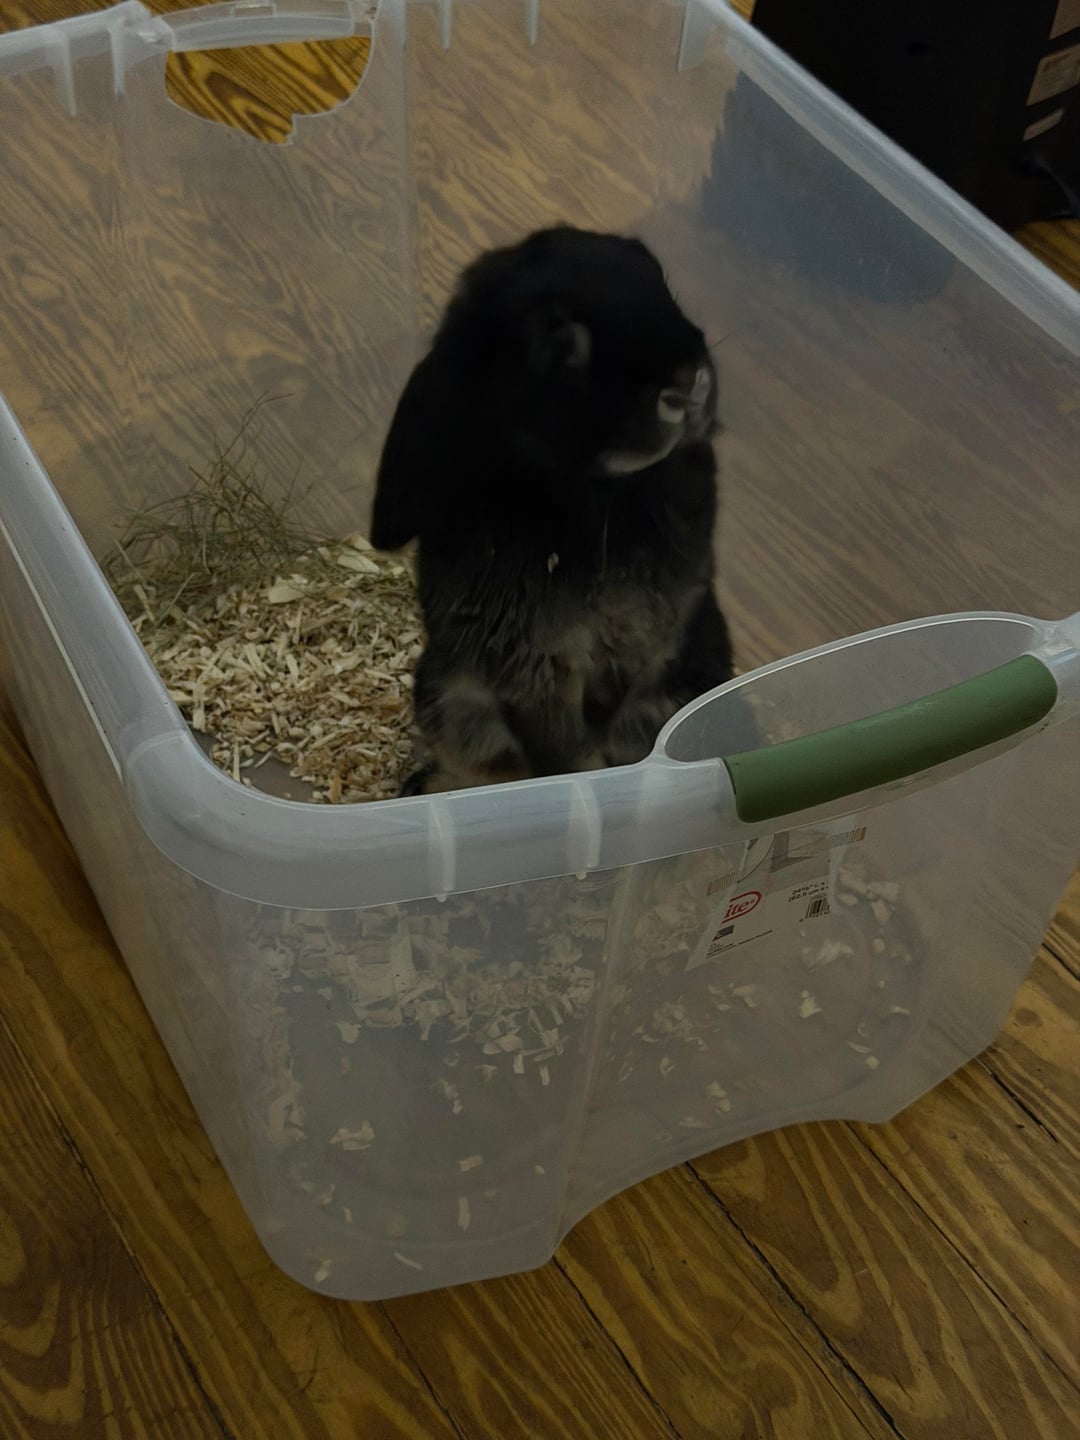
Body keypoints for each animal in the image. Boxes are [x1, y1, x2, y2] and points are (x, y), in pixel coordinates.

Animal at [369, 225, 737, 795]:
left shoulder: (660, 645)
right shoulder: (534, 676)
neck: (600, 493)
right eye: (558, 346)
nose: (688, 380)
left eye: (659, 276)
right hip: (449, 690)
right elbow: (567, 757)